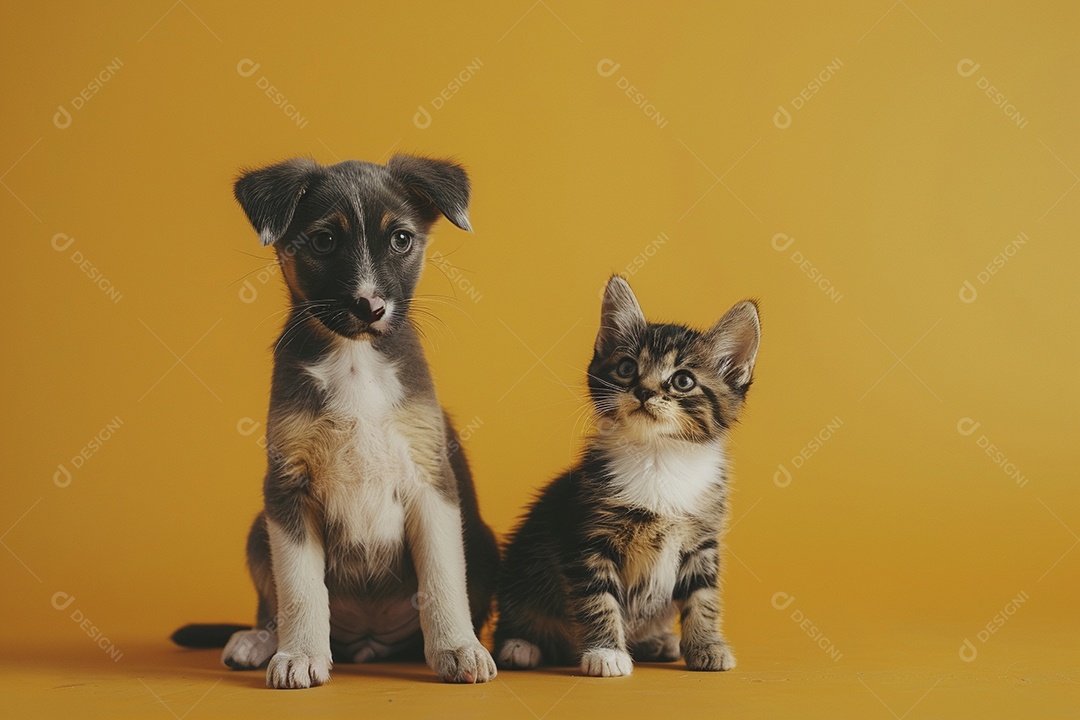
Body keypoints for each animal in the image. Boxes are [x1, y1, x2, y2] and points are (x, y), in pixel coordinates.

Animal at [170, 156, 498, 686]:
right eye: (324, 240)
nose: (371, 307)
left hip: (483, 539)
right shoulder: (287, 489)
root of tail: (369, 640)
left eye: (401, 239)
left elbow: (442, 578)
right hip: (258, 529)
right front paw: (300, 654)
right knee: (273, 606)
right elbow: (301, 588)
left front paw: (458, 648)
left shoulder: (431, 481)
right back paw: (258, 641)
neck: (355, 361)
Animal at [492, 274, 760, 677]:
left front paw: (706, 646)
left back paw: (657, 641)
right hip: (523, 561)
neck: (658, 456)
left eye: (683, 380)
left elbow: (703, 596)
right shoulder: (586, 536)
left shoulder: (703, 538)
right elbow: (597, 598)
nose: (644, 391)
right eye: (626, 368)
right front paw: (605, 653)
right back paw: (520, 645)